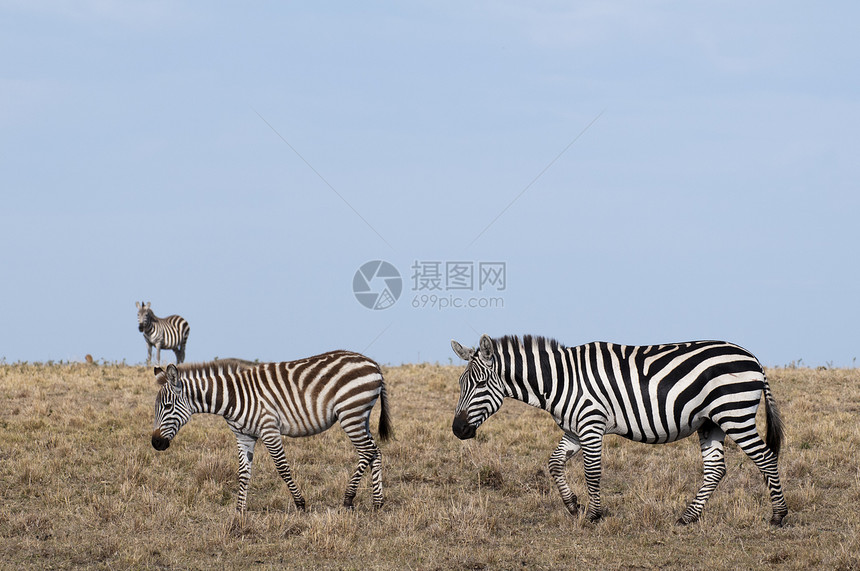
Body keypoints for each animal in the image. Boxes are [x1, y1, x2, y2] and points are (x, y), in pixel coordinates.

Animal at [151, 350, 394, 512]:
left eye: (168, 406)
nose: (156, 443)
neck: (232, 396)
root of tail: (373, 363)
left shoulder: (269, 430)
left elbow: (282, 468)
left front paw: (300, 503)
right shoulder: (244, 436)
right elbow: (243, 472)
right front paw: (240, 511)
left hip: (350, 413)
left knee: (367, 451)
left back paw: (348, 499)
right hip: (361, 416)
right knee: (376, 451)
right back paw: (377, 502)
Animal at [454, 336, 788, 528]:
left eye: (480, 384)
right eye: (460, 384)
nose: (457, 430)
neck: (561, 380)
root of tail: (753, 359)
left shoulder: (591, 423)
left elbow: (592, 472)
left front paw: (593, 516)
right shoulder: (575, 429)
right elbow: (554, 463)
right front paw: (573, 505)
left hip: (734, 414)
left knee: (766, 458)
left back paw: (778, 516)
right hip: (711, 423)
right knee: (716, 469)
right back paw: (687, 518)